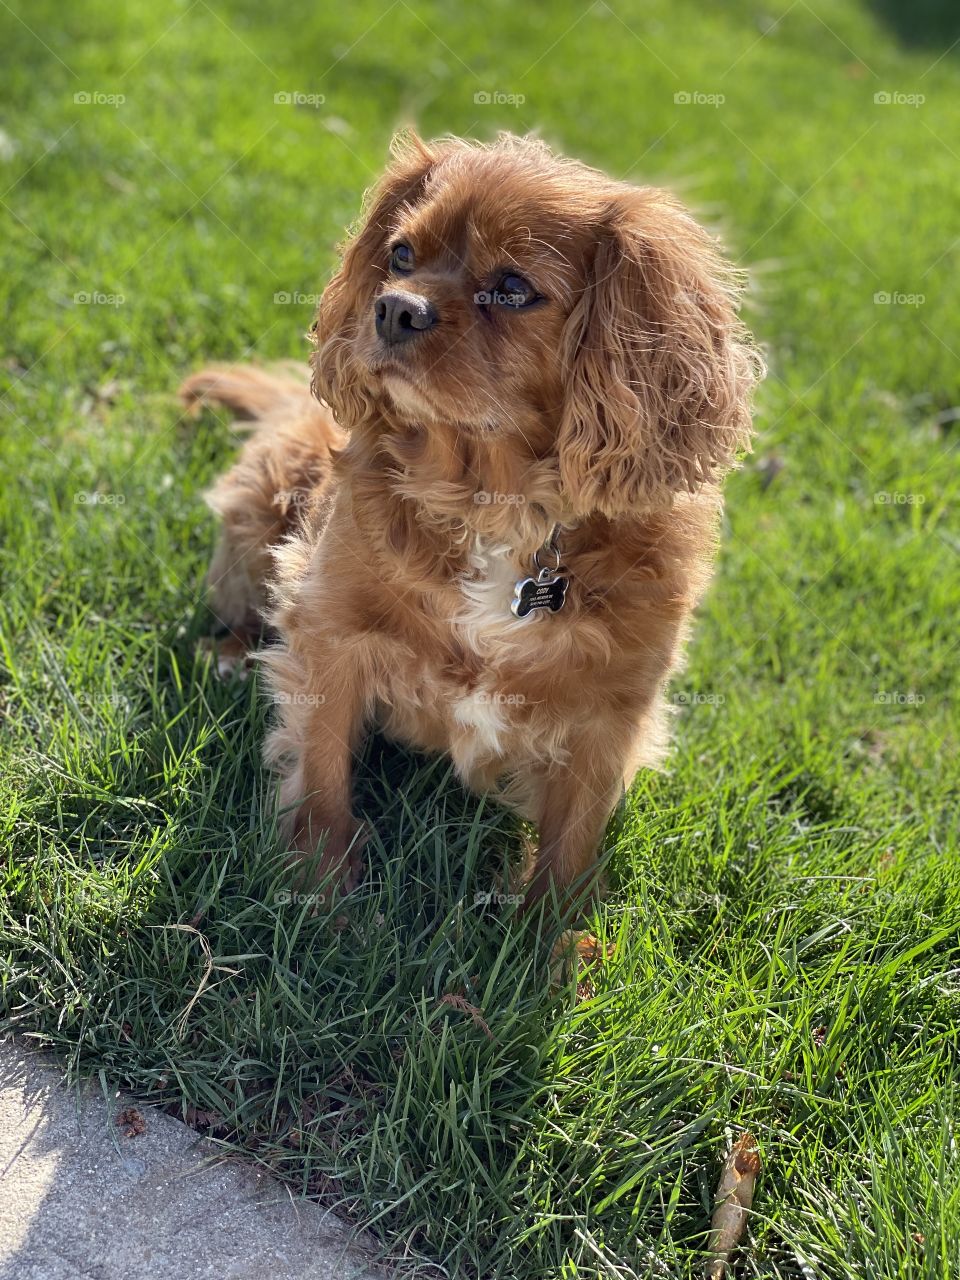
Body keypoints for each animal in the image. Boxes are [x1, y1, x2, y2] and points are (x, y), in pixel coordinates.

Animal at [181, 129, 768, 911]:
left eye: (514, 290)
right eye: (400, 254)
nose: (393, 308)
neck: (495, 506)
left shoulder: (609, 715)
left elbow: (571, 842)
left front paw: (549, 939)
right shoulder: (331, 633)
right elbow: (323, 771)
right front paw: (321, 894)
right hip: (258, 519)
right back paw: (226, 654)